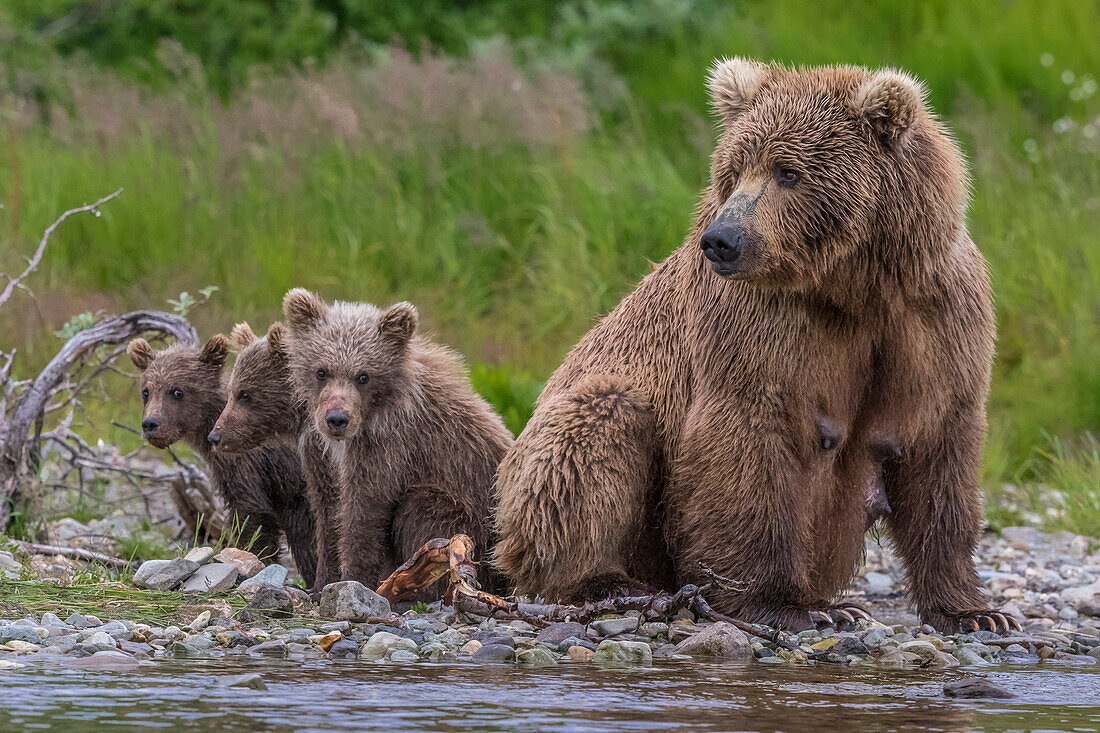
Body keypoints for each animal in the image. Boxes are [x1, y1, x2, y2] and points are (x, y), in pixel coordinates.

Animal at [495, 57, 1007, 629]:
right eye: (736, 167)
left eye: (788, 171)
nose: (722, 240)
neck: (855, 287)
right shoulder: (760, 325)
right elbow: (748, 443)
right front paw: (784, 604)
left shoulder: (936, 320)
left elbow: (939, 454)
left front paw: (974, 612)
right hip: (561, 445)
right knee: (595, 431)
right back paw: (604, 581)